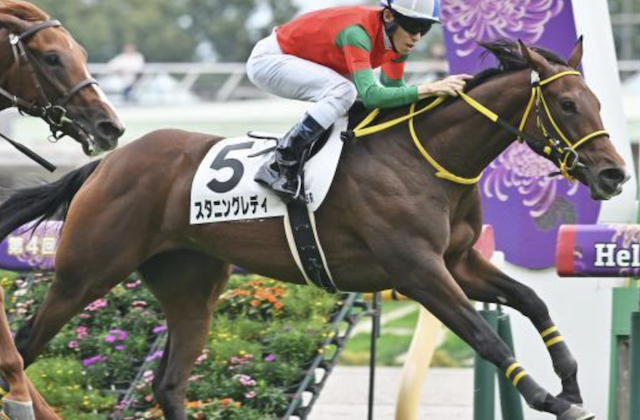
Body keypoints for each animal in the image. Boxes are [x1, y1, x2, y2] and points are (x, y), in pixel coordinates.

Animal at [0, 39, 628, 420]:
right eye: (567, 104)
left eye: (599, 101)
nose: (615, 174)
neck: (423, 157)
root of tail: (108, 163)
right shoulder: (419, 272)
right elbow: (484, 335)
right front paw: (549, 396)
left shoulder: (459, 263)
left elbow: (532, 302)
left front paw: (571, 387)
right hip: (88, 271)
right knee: (25, 344)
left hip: (191, 286)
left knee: (170, 383)